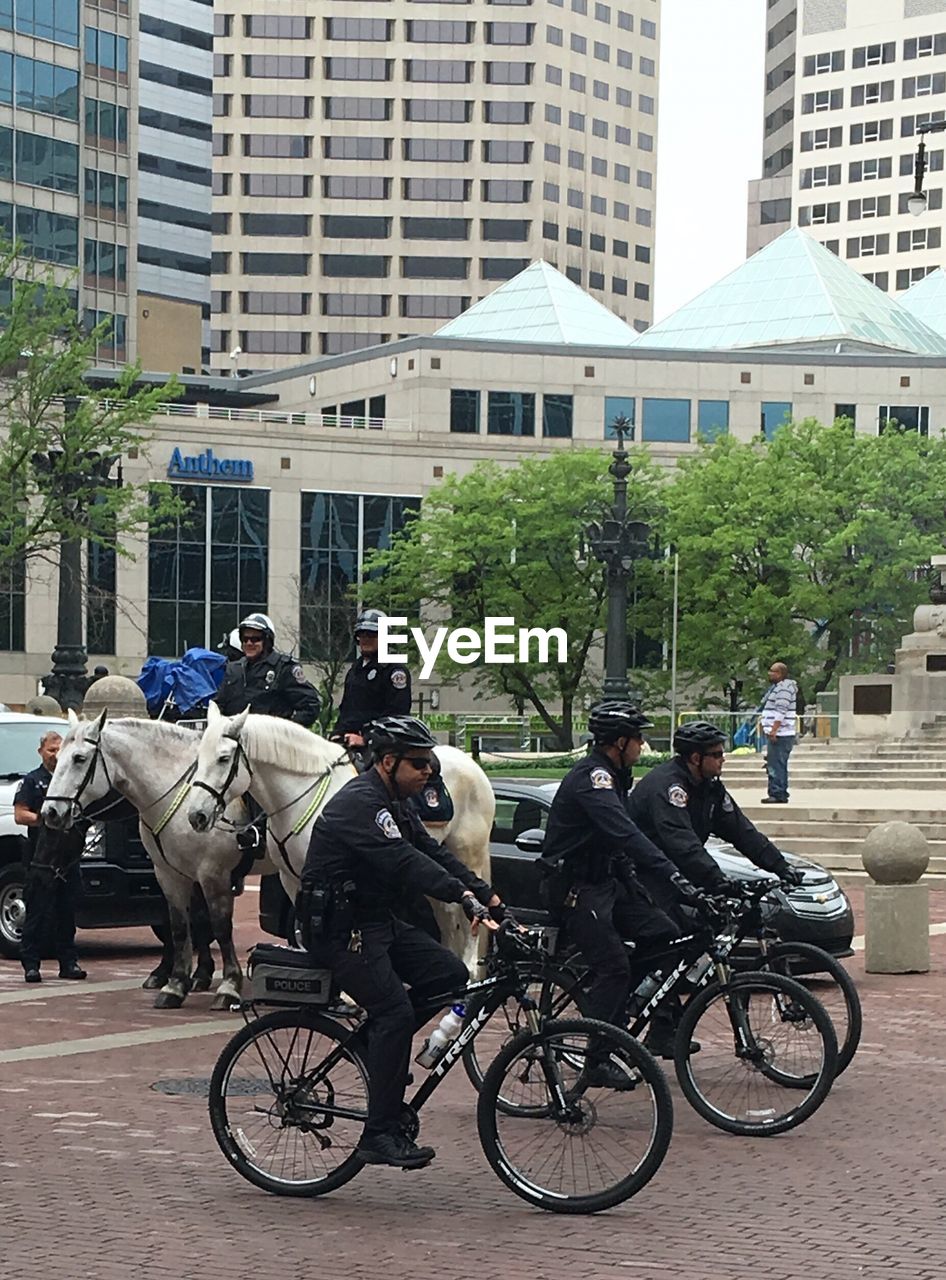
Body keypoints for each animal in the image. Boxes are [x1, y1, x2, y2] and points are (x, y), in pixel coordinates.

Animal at [40, 711, 248, 1008]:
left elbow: (219, 926)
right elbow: (181, 924)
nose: (51, 812)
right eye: (56, 757)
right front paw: (178, 981)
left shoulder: (213, 872)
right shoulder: (170, 872)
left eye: (79, 758)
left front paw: (229, 985)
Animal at [185, 706, 496, 962]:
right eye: (198, 757)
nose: (196, 815)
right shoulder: (293, 880)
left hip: (468, 858)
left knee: (468, 916)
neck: (300, 794)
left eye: (224, 758)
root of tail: (473, 767)